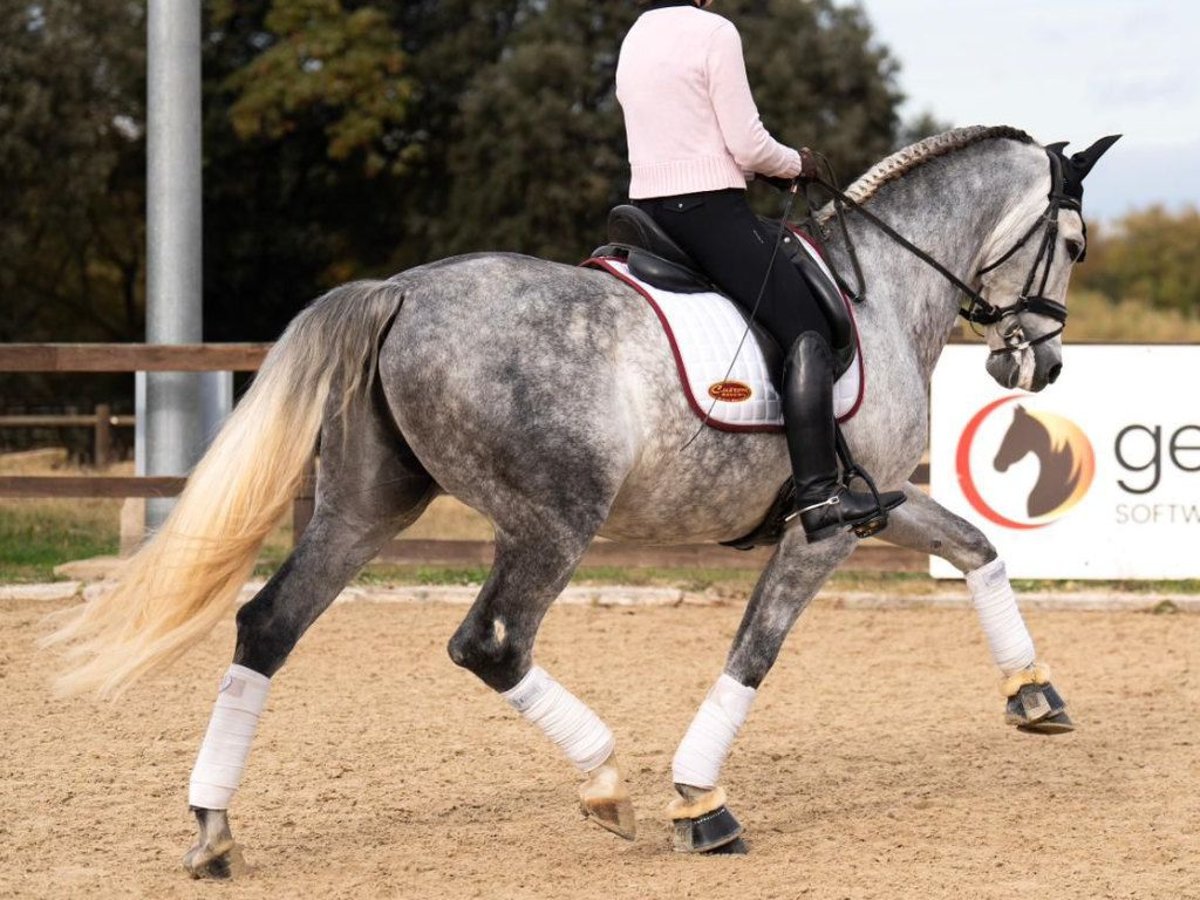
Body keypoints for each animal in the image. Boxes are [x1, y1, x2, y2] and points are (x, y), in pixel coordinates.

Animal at [46, 125, 1113, 873]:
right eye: (1071, 241)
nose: (1041, 363)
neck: (881, 290)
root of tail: (397, 291)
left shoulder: (879, 494)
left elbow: (976, 546)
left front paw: (1035, 694)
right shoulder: (828, 526)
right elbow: (755, 652)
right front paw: (698, 801)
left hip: (367, 507)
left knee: (268, 625)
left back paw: (213, 830)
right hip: (553, 522)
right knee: (492, 643)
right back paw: (604, 782)